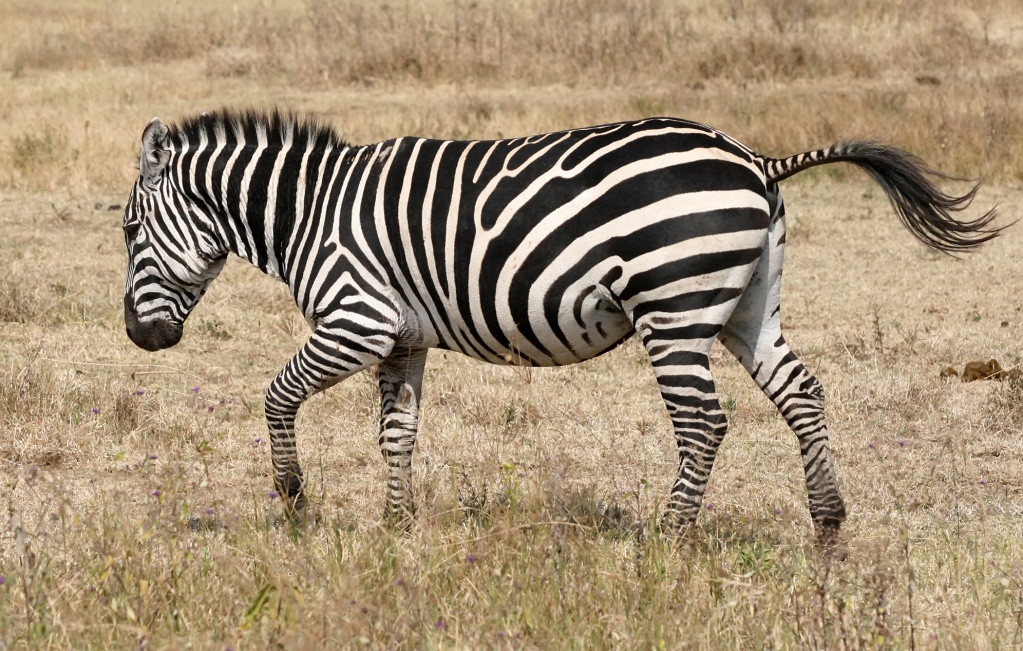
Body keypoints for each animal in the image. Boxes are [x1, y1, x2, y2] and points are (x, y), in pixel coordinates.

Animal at [121, 109, 998, 540]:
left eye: (128, 230)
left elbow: (275, 395)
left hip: (672, 309)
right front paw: (396, 526)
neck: (306, 211)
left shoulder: (355, 319)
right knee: (802, 394)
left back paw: (668, 536)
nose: (139, 338)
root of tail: (754, 159)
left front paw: (294, 497)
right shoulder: (401, 335)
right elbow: (396, 432)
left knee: (703, 423)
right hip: (748, 305)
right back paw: (827, 523)